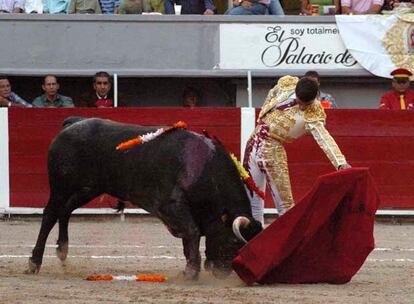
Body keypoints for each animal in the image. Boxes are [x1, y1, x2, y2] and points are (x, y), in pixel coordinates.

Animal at [25, 117, 262, 280]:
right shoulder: (172, 206)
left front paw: (189, 269)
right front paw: (191, 273)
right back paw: (34, 263)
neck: (205, 170)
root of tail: (72, 124)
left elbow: (189, 239)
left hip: (88, 188)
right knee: (50, 214)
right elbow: (192, 232)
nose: (224, 273)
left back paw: (62, 250)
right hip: (61, 187)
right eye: (233, 241)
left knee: (65, 211)